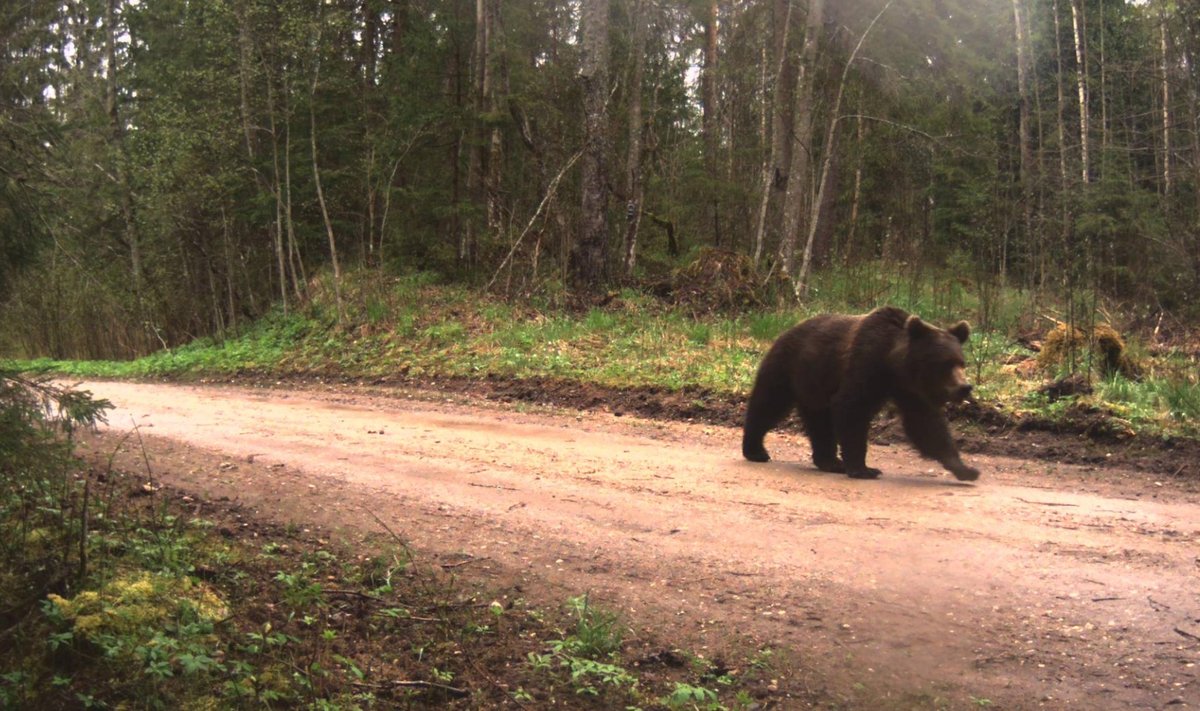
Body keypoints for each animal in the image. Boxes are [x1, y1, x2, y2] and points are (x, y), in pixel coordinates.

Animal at [739, 302, 984, 480]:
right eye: (945, 364)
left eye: (961, 362)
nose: (964, 387)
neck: (893, 364)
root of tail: (784, 331)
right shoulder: (865, 365)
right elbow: (852, 408)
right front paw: (864, 469)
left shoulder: (909, 389)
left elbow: (926, 424)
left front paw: (966, 469)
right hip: (787, 367)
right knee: (769, 403)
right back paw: (756, 450)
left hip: (814, 383)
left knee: (819, 421)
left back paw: (830, 462)